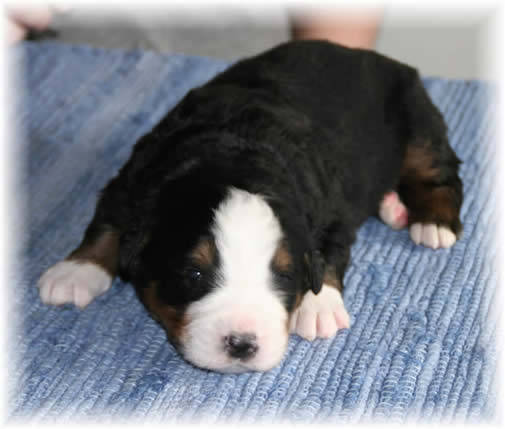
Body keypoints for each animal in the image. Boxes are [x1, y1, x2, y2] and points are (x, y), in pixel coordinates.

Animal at [37, 40, 463, 373]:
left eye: (284, 277)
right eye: (194, 274)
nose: (242, 344)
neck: (235, 154)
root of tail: (379, 57)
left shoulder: (332, 212)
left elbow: (330, 252)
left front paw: (319, 305)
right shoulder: (133, 179)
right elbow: (108, 223)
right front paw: (76, 271)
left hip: (419, 124)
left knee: (441, 175)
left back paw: (433, 222)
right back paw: (394, 206)